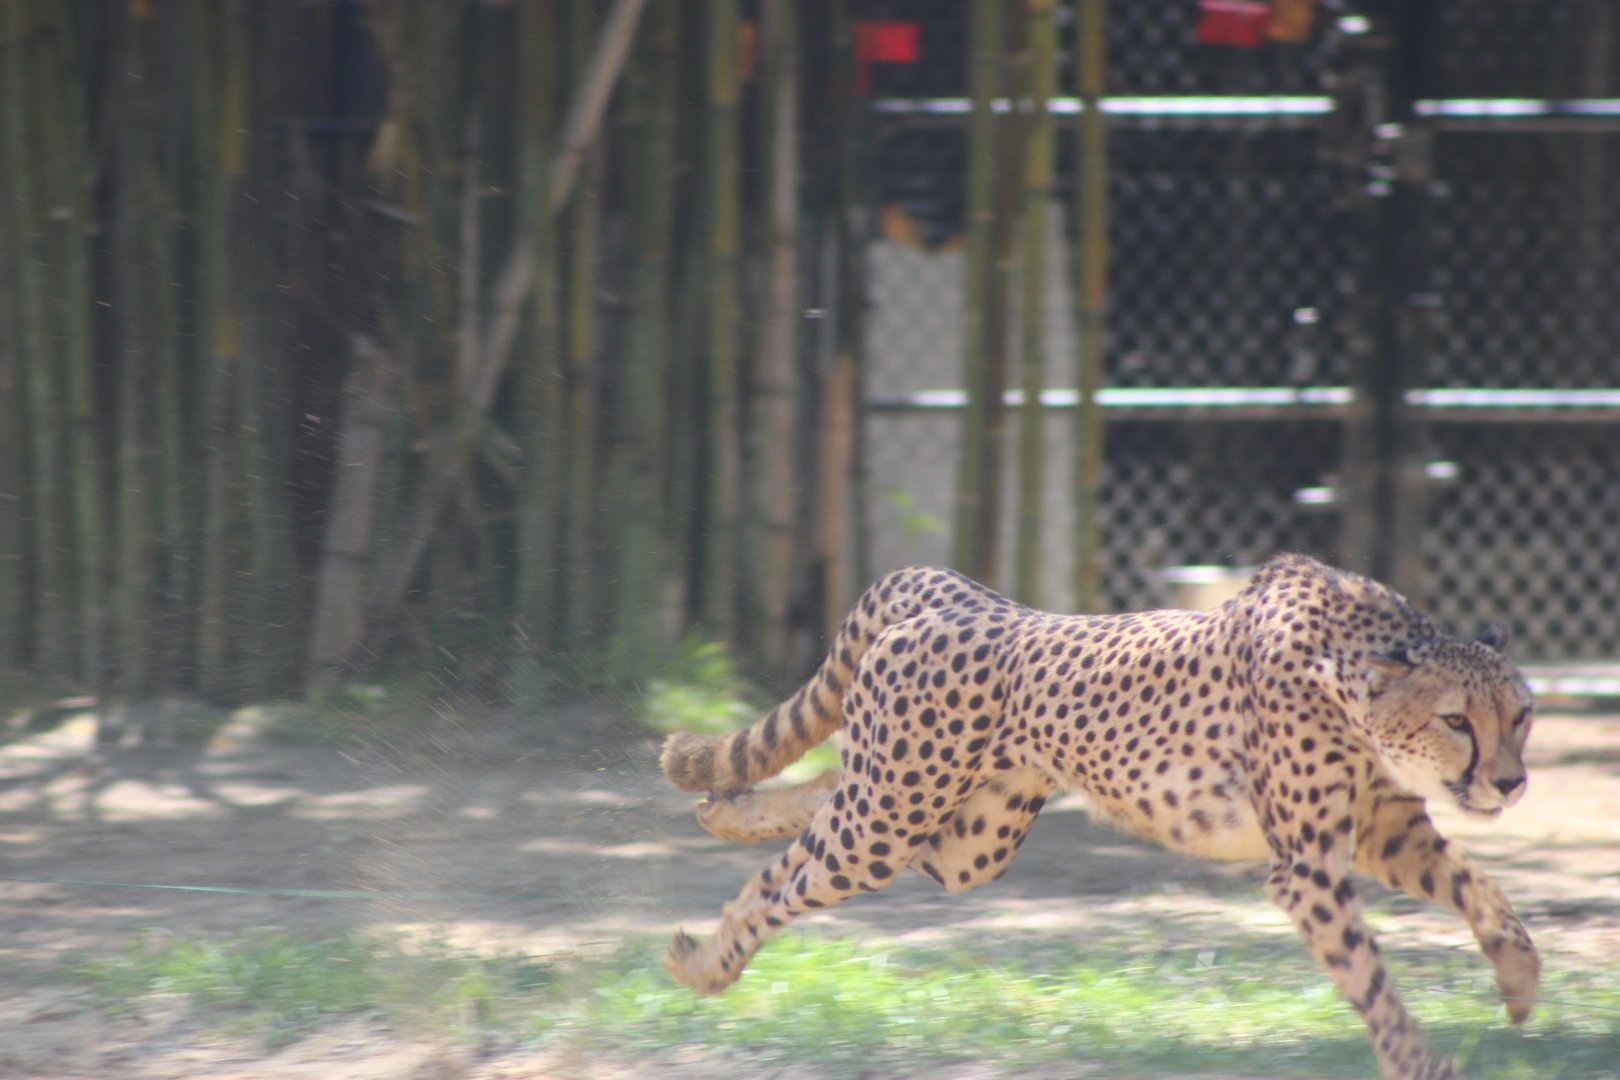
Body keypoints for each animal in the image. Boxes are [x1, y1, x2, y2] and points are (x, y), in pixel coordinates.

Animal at [659, 553, 1538, 1080]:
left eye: (1522, 714)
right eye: (1458, 720)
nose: (1510, 782)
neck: (1357, 679)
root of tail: (960, 592)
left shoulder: (1386, 830)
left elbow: (1480, 888)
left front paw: (1519, 979)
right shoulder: (1309, 866)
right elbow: (1369, 972)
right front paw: (1417, 1059)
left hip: (961, 835)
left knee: (822, 804)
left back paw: (720, 829)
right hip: (888, 821)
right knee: (797, 869)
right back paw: (708, 961)